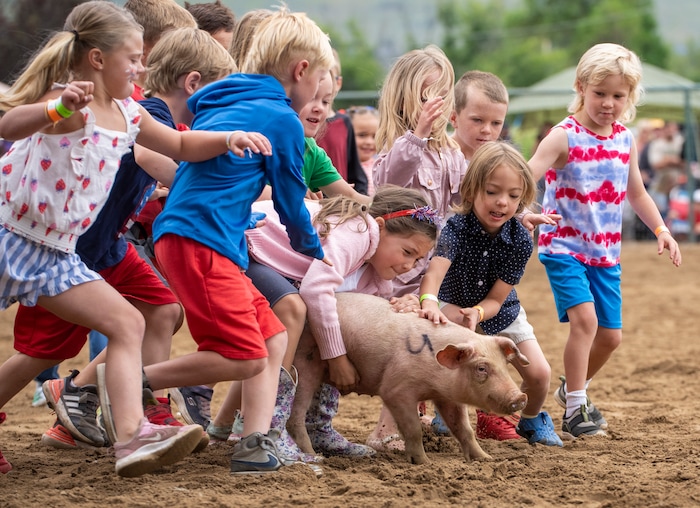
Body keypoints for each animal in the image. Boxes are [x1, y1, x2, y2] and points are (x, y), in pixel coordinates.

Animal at [288, 294, 528, 464]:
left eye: (505, 365)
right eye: (481, 368)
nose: (520, 397)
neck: (433, 382)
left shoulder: (448, 397)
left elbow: (463, 429)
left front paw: (486, 459)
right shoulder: (395, 389)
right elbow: (413, 429)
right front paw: (424, 463)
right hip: (304, 364)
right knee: (295, 415)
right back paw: (315, 457)